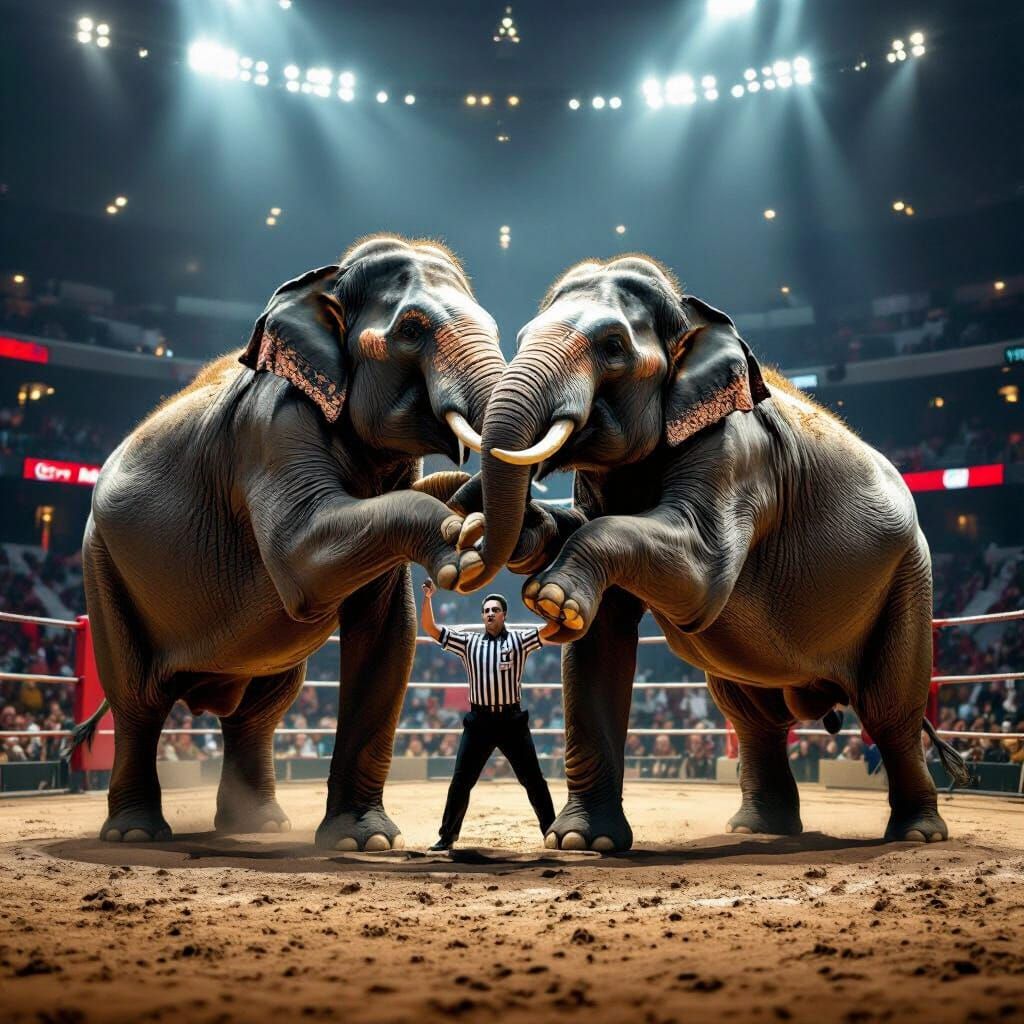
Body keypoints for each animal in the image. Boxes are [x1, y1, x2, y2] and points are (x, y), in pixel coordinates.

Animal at [77, 235, 500, 850]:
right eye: (412, 329)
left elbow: (388, 633)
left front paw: (364, 840)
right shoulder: (271, 424)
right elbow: (303, 560)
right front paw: (454, 543)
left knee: (261, 708)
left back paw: (257, 824)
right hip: (102, 565)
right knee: (137, 700)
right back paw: (136, 834)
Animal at [456, 253, 967, 851]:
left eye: (612, 346)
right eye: (520, 338)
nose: (465, 554)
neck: (691, 316)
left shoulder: (738, 451)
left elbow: (702, 575)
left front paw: (552, 601)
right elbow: (598, 638)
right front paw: (585, 842)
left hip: (909, 577)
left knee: (890, 712)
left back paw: (917, 834)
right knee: (752, 717)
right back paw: (760, 828)